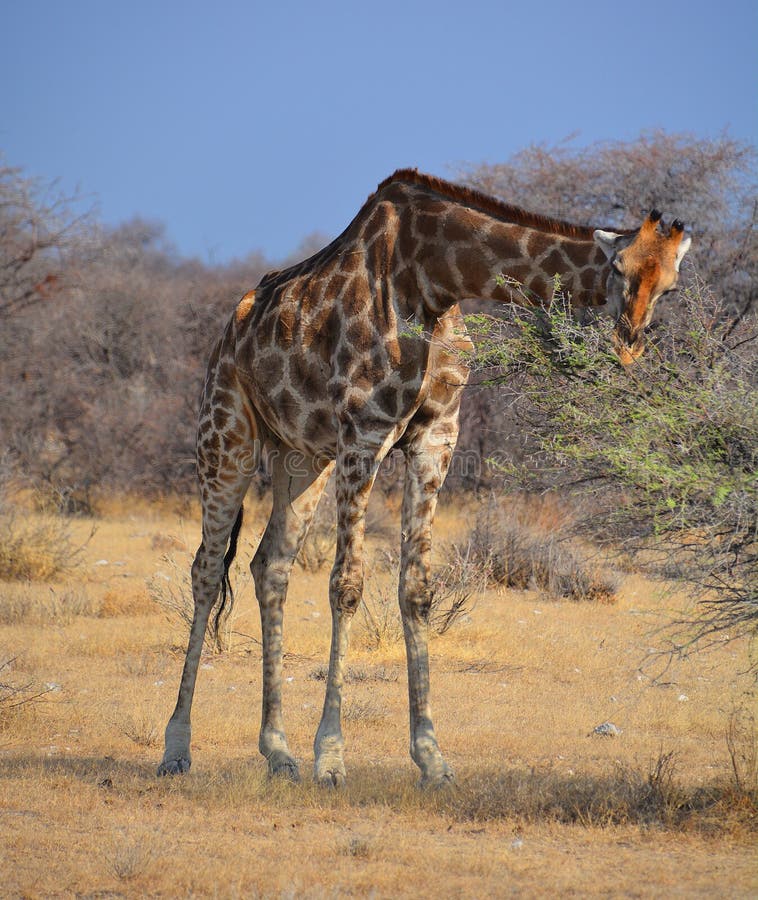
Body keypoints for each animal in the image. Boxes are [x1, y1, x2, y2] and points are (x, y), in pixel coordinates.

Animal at [160, 169, 696, 788]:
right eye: (619, 269)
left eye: (671, 286)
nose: (629, 344)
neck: (436, 278)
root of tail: (231, 327)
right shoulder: (364, 434)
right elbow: (346, 585)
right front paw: (332, 757)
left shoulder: (437, 438)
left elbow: (415, 588)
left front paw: (431, 758)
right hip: (226, 433)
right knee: (205, 569)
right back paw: (177, 748)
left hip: (302, 456)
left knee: (268, 565)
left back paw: (278, 751)